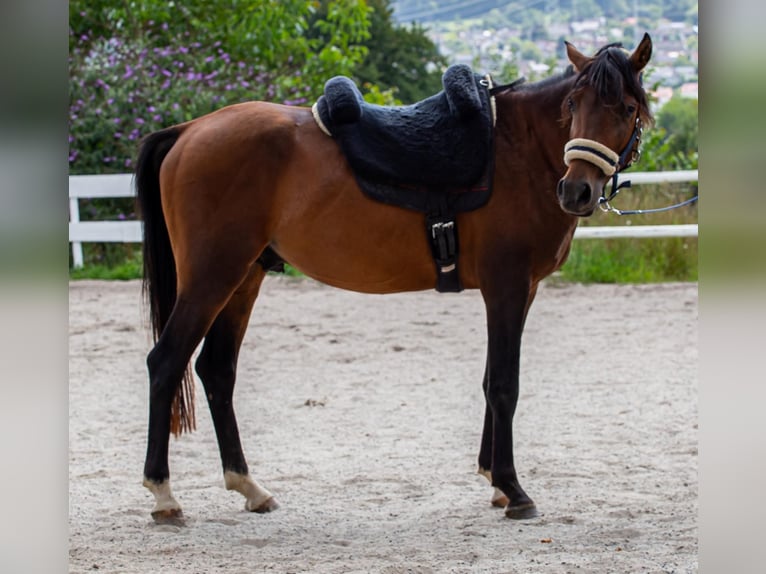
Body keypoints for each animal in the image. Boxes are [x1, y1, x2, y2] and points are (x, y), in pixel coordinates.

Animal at [136, 33, 656, 524]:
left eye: (626, 108)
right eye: (573, 105)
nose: (576, 190)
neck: (518, 151)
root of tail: (189, 130)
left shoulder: (522, 290)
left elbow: (491, 379)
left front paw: (494, 480)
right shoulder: (505, 287)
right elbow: (505, 385)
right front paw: (514, 489)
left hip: (243, 278)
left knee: (216, 370)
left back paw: (249, 487)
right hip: (212, 277)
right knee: (165, 363)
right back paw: (164, 494)